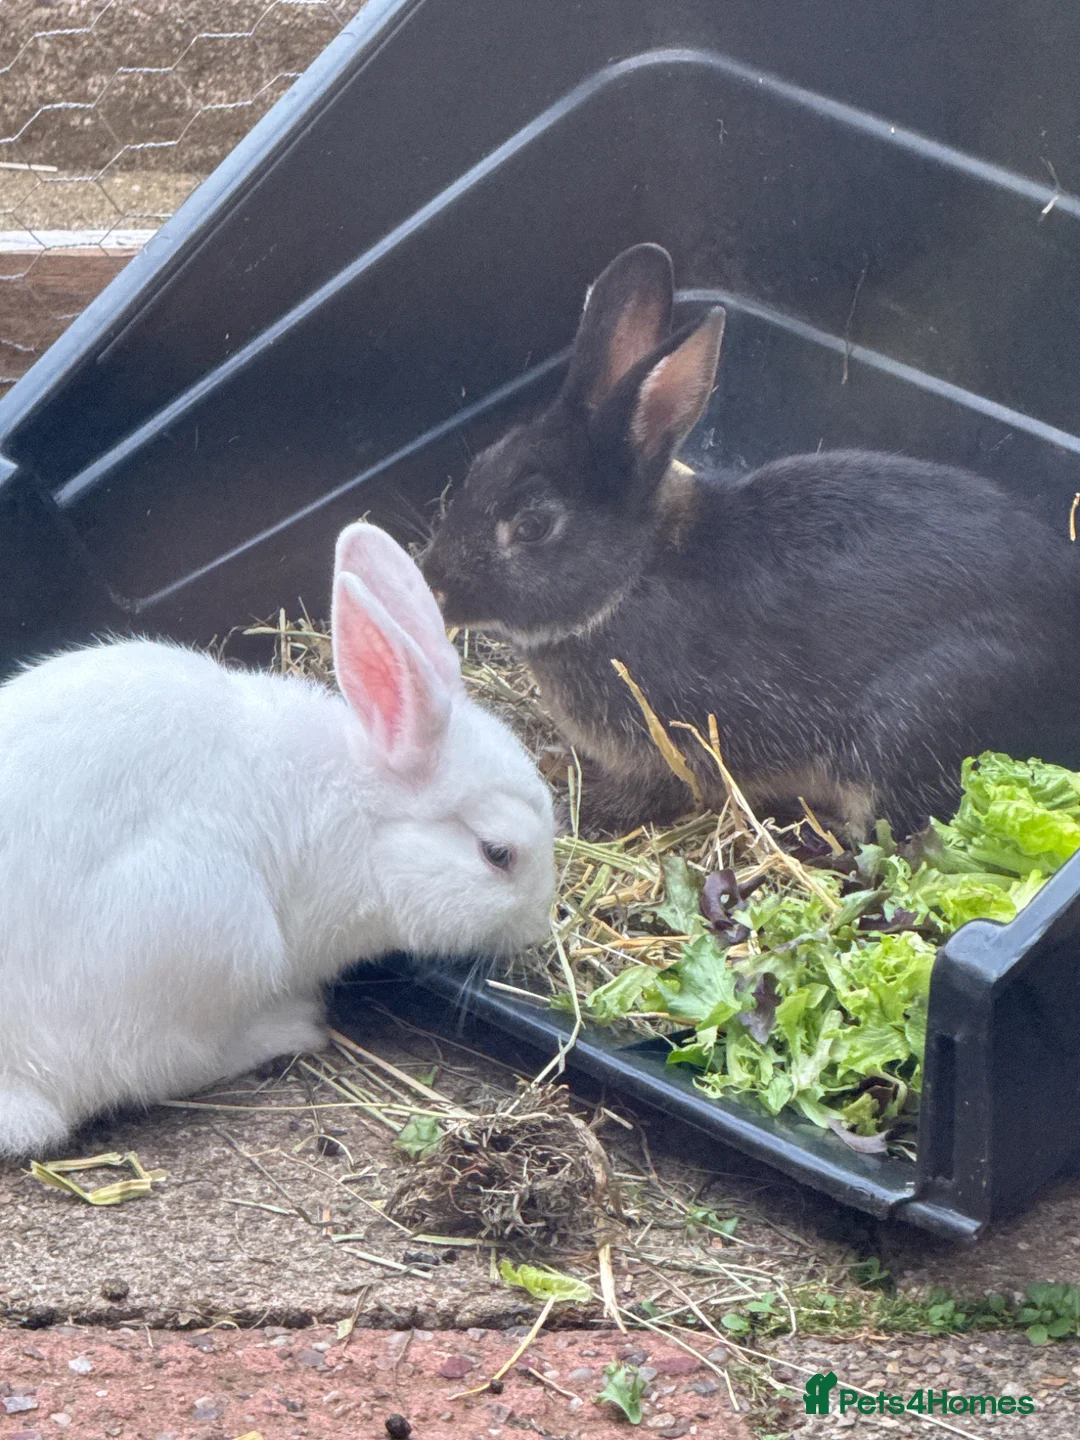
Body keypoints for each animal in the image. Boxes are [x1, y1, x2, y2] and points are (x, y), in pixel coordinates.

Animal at [0, 523, 554, 1157]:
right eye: (498, 854)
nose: (540, 927)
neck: (363, 818)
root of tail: (15, 1080)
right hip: (215, 936)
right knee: (161, 1069)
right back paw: (292, 1026)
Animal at [420, 242, 1080, 842]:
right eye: (481, 464)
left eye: (533, 527)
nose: (436, 586)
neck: (633, 574)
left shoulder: (667, 753)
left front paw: (574, 813)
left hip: (913, 727)